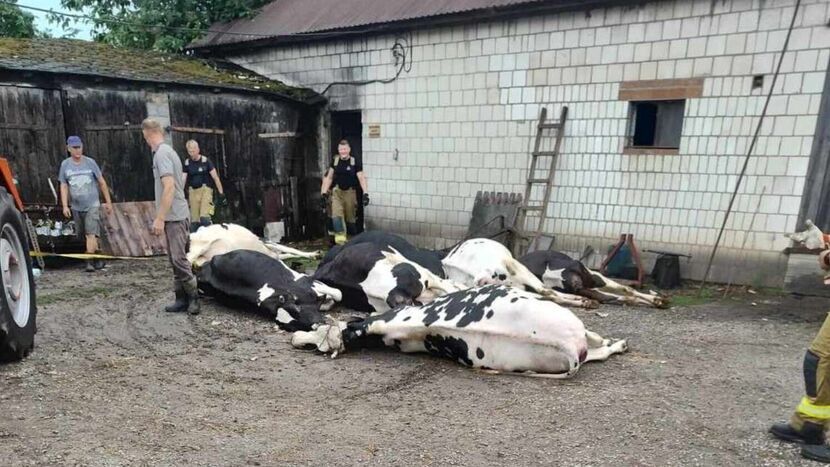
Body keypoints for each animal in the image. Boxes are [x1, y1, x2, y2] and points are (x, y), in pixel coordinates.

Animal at [188, 224, 318, 268]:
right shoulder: (266, 241)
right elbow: (289, 249)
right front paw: (312, 254)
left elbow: (288, 253)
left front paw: (311, 255)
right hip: (200, 247)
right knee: (189, 257)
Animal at [198, 250, 344, 330]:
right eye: (292, 326)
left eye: (297, 309)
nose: (316, 325)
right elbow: (336, 295)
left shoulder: (307, 281)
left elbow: (338, 294)